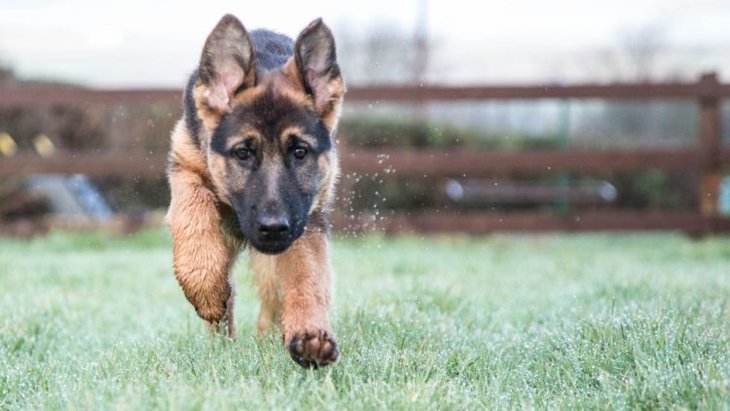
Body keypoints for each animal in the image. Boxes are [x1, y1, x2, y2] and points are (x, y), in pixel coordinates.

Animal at [166, 15, 342, 370]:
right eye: (243, 153)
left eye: (300, 152)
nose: (273, 228)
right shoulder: (185, 167)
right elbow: (192, 216)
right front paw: (205, 288)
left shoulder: (306, 221)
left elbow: (309, 276)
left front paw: (310, 333)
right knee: (228, 300)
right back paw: (220, 342)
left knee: (272, 299)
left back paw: (268, 342)